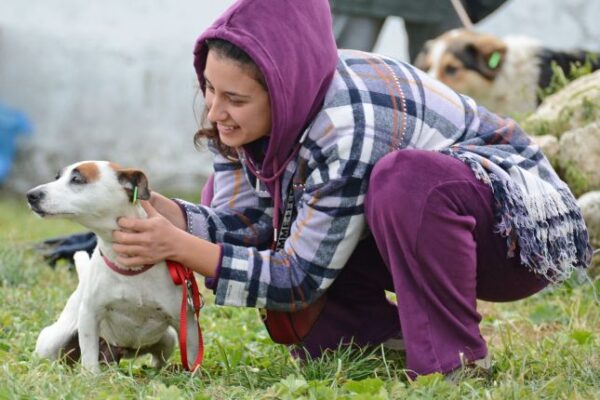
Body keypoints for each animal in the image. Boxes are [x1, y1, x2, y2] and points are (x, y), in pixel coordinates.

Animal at [27, 161, 199, 374]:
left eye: (77, 179)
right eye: (57, 177)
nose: (31, 195)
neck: (128, 266)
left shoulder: (187, 324)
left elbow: (192, 358)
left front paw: (192, 376)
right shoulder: (89, 316)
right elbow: (89, 357)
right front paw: (91, 378)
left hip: (169, 339)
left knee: (158, 359)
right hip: (53, 341)